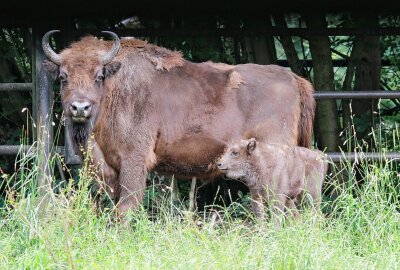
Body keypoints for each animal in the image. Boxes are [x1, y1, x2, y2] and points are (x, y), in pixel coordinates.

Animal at [41, 29, 316, 215]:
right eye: (63, 77)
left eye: (99, 76)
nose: (80, 107)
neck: (115, 86)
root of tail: (294, 79)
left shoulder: (134, 159)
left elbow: (127, 206)